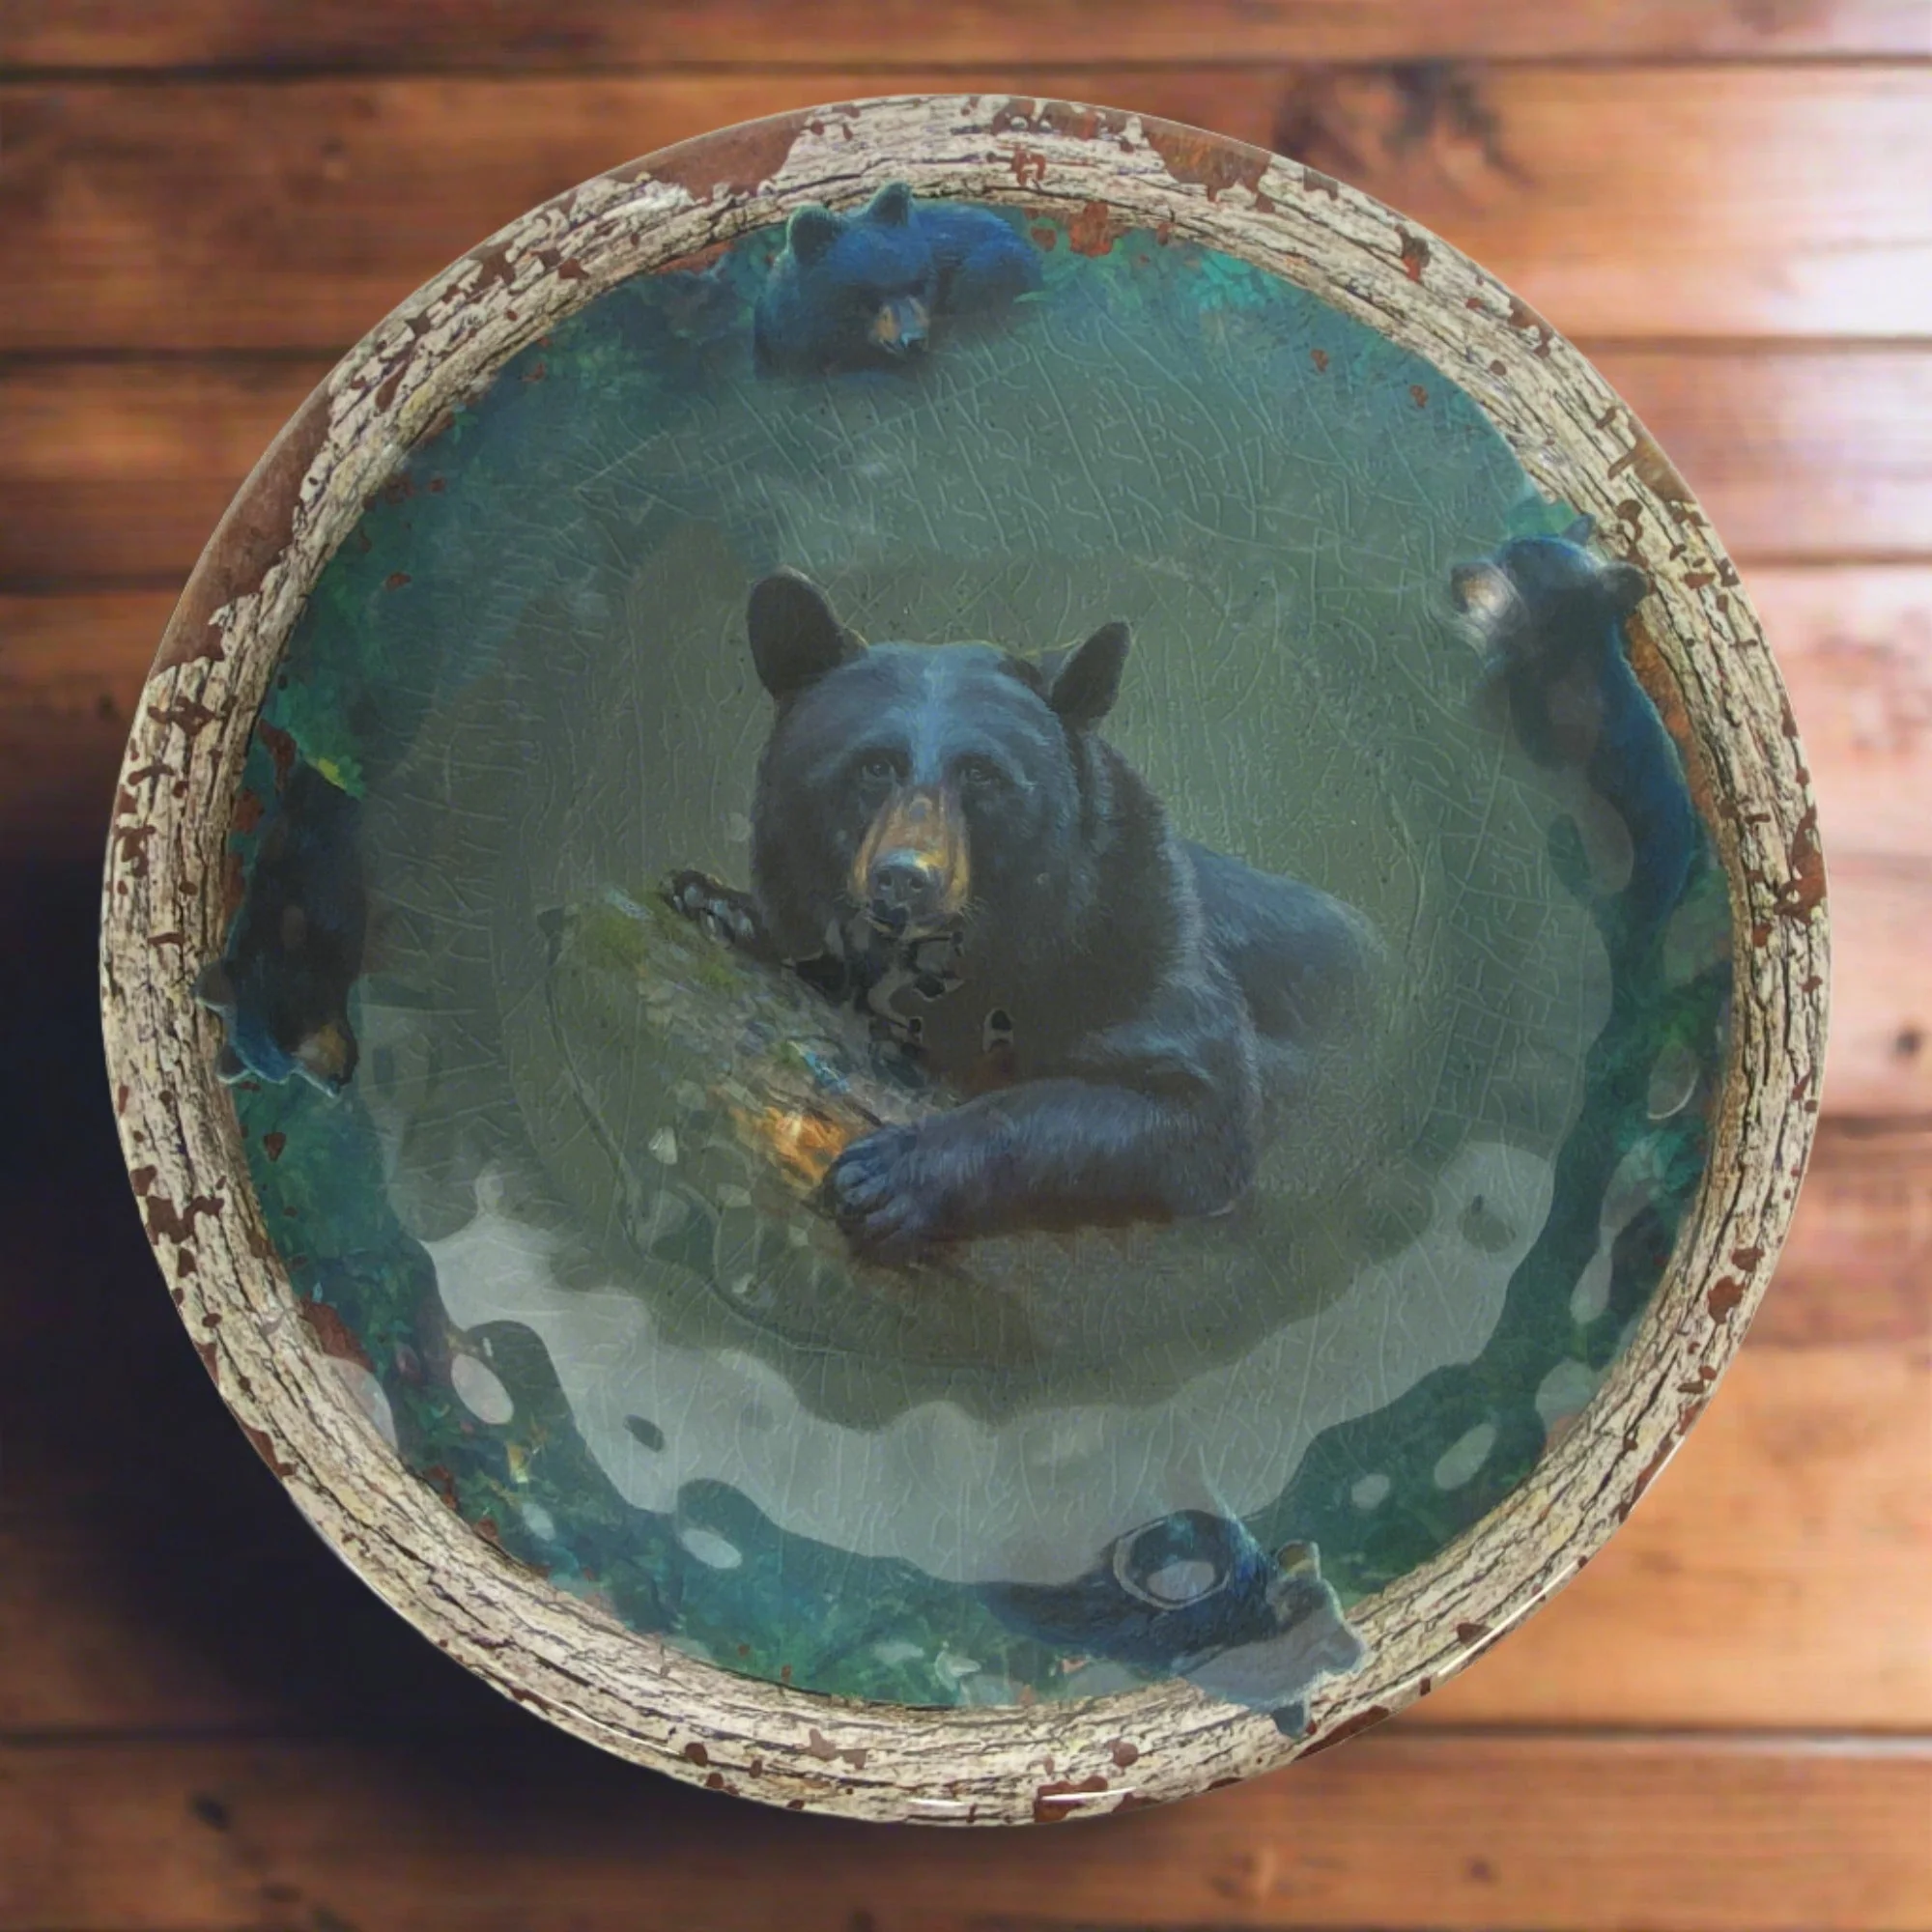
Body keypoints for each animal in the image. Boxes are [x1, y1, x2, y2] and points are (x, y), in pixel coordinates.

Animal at [666, 568, 1379, 1261]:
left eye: (982, 774)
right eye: (874, 766)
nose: (906, 879)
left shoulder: (1140, 945)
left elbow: (1195, 1108)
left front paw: (889, 1176)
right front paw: (717, 903)